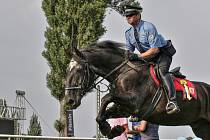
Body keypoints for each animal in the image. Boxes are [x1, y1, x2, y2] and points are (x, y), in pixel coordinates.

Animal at [65, 40, 210, 139]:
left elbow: (107, 97)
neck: (122, 72)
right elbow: (105, 112)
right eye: (68, 70)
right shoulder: (125, 108)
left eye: (78, 69)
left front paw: (107, 129)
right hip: (201, 127)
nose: (69, 101)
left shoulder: (134, 102)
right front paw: (113, 130)